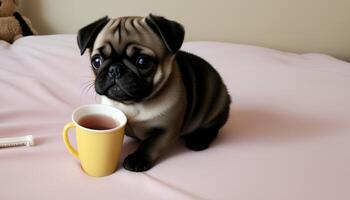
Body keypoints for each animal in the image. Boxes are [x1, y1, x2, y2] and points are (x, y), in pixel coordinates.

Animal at [76, 13, 230, 172]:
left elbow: (150, 145)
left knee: (213, 127)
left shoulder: (165, 130)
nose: (115, 69)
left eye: (143, 61)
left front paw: (137, 159)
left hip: (216, 107)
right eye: (96, 61)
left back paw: (199, 139)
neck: (132, 103)